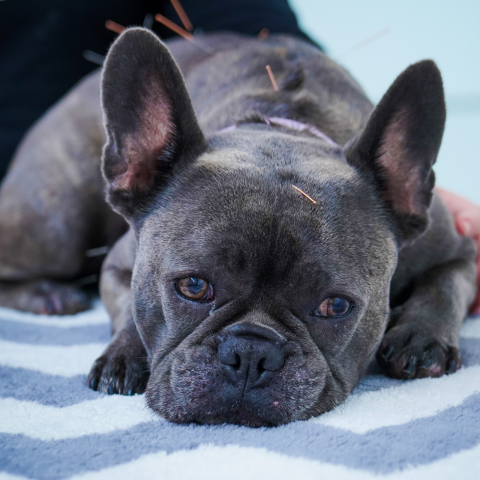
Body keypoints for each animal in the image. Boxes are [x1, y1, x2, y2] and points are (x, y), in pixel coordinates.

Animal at [0, 28, 474, 426]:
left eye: (336, 306)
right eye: (192, 286)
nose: (250, 353)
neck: (282, 130)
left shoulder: (456, 250)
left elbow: (447, 283)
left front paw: (421, 336)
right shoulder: (119, 264)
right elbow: (128, 308)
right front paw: (125, 354)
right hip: (57, 225)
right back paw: (48, 295)